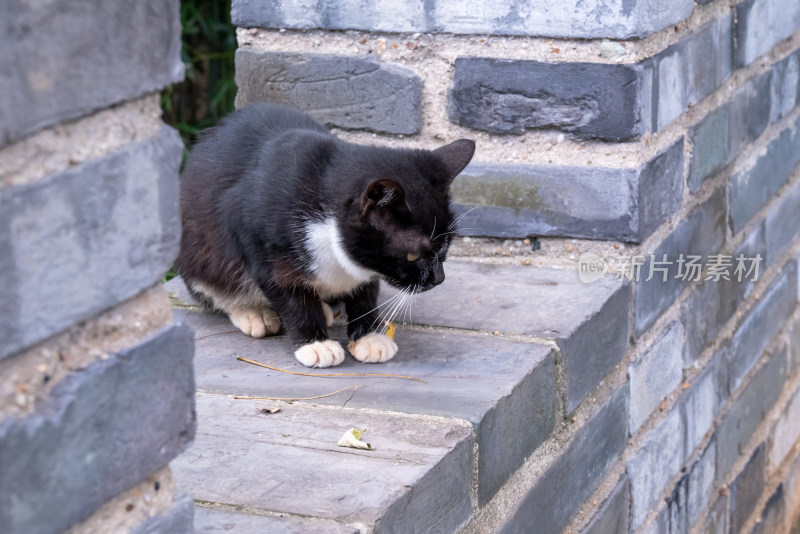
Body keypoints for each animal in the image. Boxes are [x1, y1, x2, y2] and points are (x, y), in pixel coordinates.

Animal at [177, 104, 476, 368]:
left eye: (446, 247)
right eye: (413, 255)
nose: (439, 279)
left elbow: (365, 290)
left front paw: (369, 335)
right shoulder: (252, 233)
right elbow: (288, 294)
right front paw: (315, 343)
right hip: (195, 245)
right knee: (213, 284)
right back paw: (254, 312)